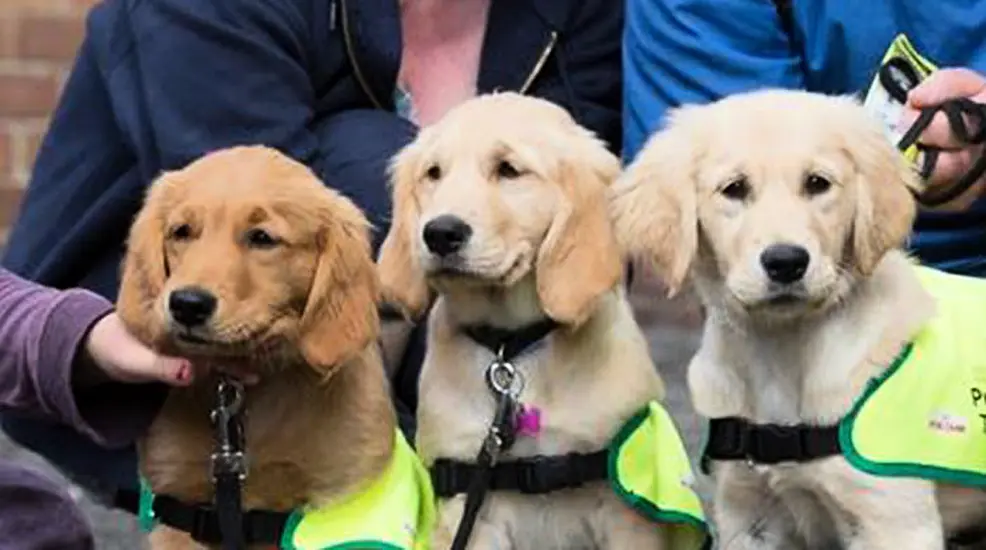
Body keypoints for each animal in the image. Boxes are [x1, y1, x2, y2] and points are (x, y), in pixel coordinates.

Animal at [374, 94, 708, 550]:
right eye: (433, 173)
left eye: (509, 170)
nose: (439, 233)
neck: (512, 346)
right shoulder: (470, 505)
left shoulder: (624, 510)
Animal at [612, 88, 984, 548]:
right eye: (734, 189)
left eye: (817, 183)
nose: (786, 262)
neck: (782, 352)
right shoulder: (748, 515)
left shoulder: (896, 521)